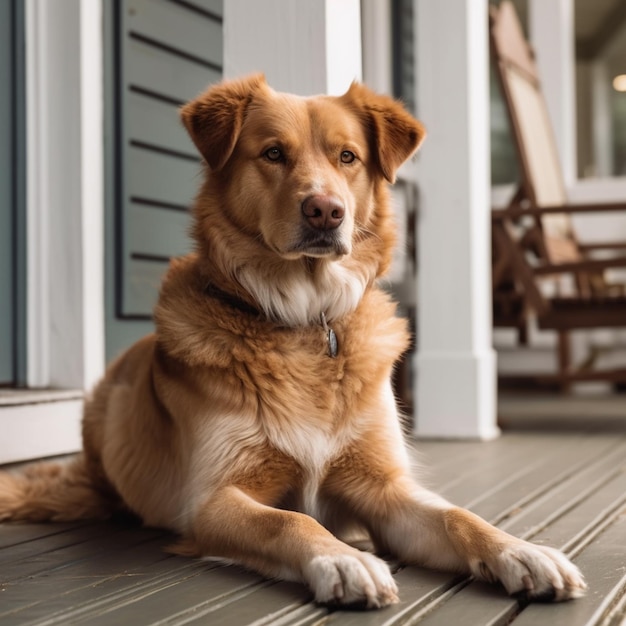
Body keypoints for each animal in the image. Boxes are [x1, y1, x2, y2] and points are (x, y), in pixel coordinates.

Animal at [1, 73, 584, 604]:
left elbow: (458, 515)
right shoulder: (214, 498)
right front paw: (343, 560)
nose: (326, 210)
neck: (307, 320)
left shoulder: (383, 487)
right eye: (273, 153)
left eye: (348, 157)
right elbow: (290, 522)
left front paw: (521, 551)